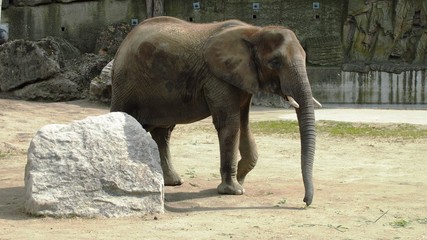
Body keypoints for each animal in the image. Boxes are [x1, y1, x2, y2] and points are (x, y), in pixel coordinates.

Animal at [111, 15, 320, 205]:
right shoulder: (217, 77)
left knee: (164, 132)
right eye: (275, 62)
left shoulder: (241, 78)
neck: (254, 32)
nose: (305, 201)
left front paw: (241, 177)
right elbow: (230, 124)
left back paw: (172, 182)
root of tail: (124, 42)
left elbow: (243, 124)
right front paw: (234, 190)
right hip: (126, 82)